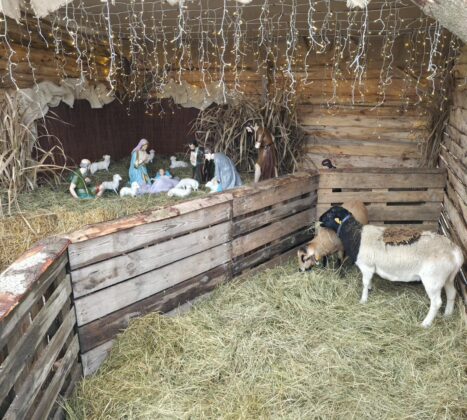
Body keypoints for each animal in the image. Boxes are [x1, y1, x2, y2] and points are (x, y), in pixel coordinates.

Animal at [319, 206, 464, 327]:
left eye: (330, 213)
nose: (319, 219)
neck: (355, 235)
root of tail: (455, 252)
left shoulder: (366, 266)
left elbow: (364, 283)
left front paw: (363, 299)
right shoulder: (371, 267)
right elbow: (369, 281)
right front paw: (370, 288)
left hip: (433, 280)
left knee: (437, 302)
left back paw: (425, 323)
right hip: (448, 278)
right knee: (452, 293)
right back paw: (447, 315)